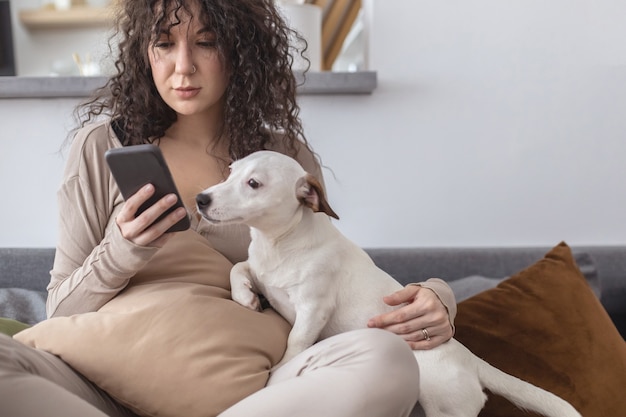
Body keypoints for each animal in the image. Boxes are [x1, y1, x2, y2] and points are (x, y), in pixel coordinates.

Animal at [195, 151, 580, 416]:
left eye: (254, 184)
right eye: (230, 172)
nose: (201, 198)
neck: (279, 242)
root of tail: (471, 361)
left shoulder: (313, 309)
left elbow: (295, 343)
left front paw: (281, 369)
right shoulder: (259, 269)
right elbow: (239, 268)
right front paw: (244, 296)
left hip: (443, 407)